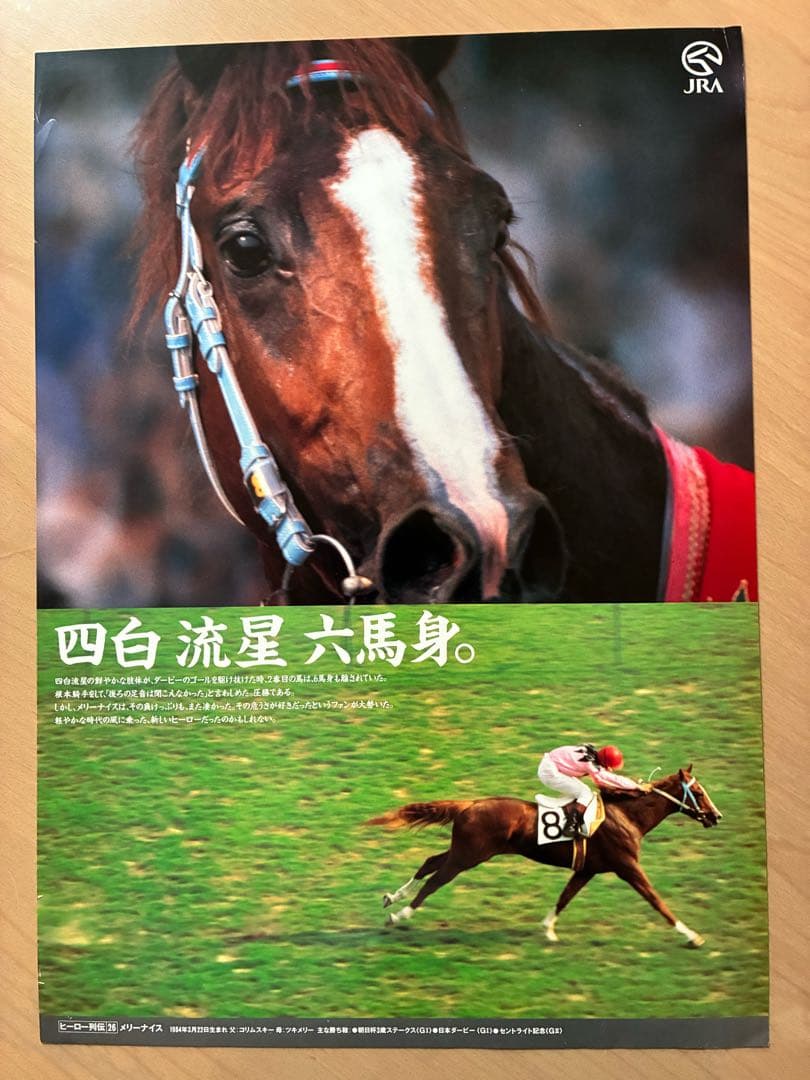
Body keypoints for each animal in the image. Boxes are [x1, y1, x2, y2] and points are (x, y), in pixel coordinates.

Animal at [366, 767, 722, 947]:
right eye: (698, 792)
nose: (716, 817)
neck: (626, 816)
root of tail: (470, 804)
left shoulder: (587, 870)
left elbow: (565, 896)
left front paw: (548, 928)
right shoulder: (627, 866)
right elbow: (657, 901)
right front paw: (692, 935)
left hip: (464, 851)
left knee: (429, 863)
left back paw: (391, 898)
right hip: (468, 856)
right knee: (435, 881)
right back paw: (399, 915)